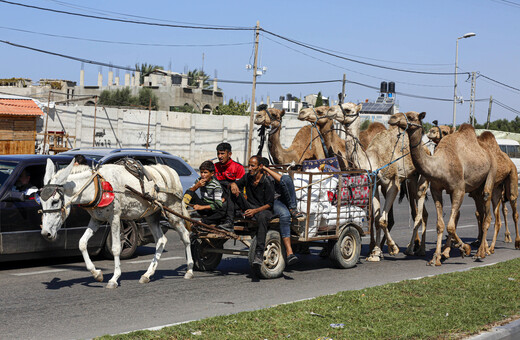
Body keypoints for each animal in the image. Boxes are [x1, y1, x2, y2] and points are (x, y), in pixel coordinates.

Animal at [40, 159, 194, 286]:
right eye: (41, 201)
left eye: (55, 201)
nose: (46, 233)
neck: (98, 186)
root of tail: (171, 170)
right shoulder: (96, 219)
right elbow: (82, 243)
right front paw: (96, 274)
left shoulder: (114, 218)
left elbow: (115, 248)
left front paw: (114, 278)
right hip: (151, 215)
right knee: (161, 240)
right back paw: (147, 274)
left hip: (173, 212)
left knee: (185, 236)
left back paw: (189, 270)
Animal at [328, 105, 428, 258]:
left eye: (348, 109)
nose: (330, 110)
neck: (373, 159)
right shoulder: (375, 184)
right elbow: (376, 220)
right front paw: (375, 252)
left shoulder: (393, 183)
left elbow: (382, 219)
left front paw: (393, 248)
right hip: (410, 179)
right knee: (421, 212)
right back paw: (418, 248)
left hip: (421, 177)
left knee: (419, 210)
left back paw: (413, 249)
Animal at [390, 111, 496, 266]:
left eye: (411, 117)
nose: (392, 118)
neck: (441, 164)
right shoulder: (436, 190)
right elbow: (440, 224)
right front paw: (436, 257)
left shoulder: (459, 190)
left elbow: (450, 225)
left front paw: (465, 248)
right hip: (476, 188)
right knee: (480, 213)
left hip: (490, 175)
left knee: (487, 212)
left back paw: (481, 253)